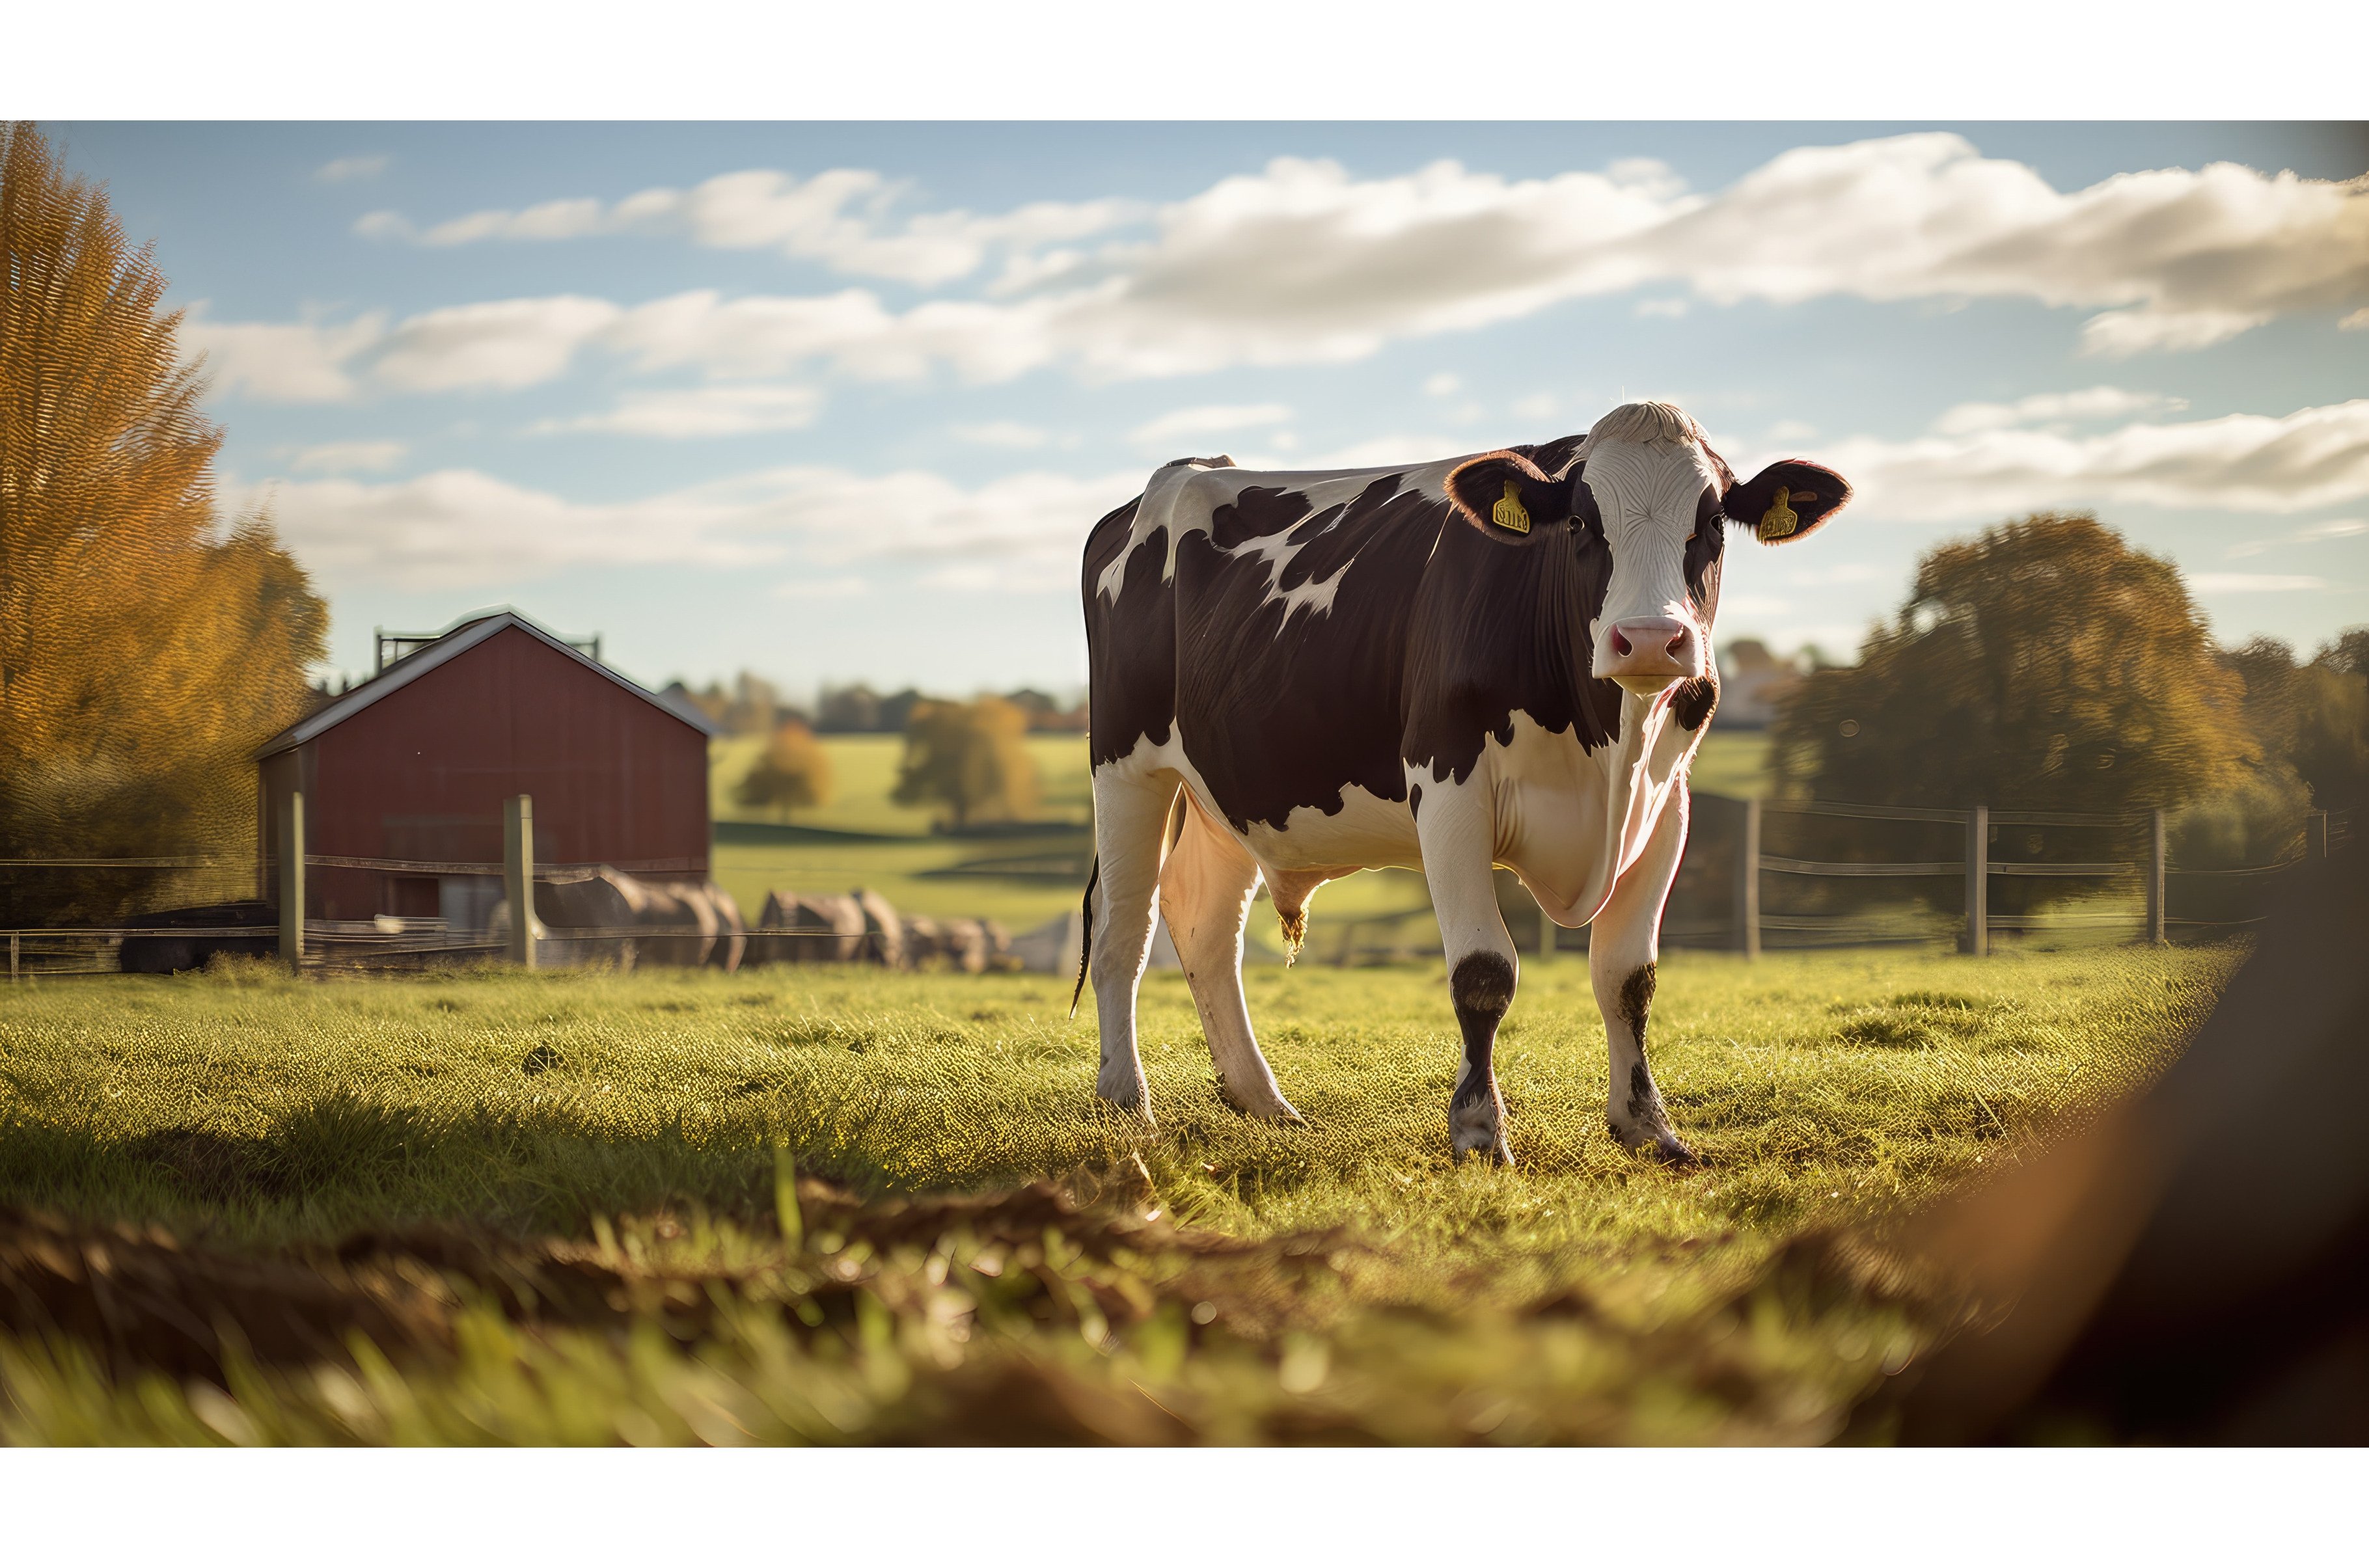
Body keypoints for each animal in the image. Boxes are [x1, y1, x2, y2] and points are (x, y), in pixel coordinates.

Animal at [1075, 401, 1851, 1165]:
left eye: (1713, 523)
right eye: (1580, 523)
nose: (1651, 639)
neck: (1607, 747)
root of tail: (1175, 478)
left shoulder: (1667, 805)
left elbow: (1628, 977)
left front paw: (1649, 1127)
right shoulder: (1449, 787)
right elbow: (1483, 973)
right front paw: (1480, 1131)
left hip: (1233, 789)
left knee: (1204, 925)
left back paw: (1265, 1104)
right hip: (1127, 765)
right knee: (1124, 929)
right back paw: (1127, 1102)